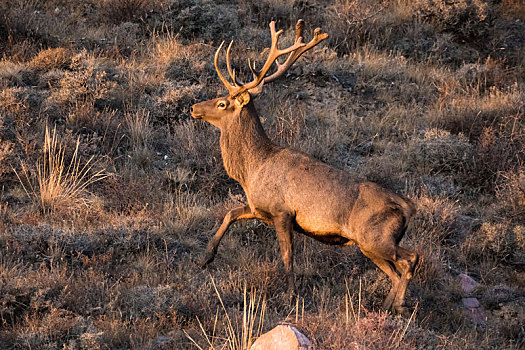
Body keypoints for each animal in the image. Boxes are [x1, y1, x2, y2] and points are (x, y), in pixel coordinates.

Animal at [190, 19, 420, 314]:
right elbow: (230, 213)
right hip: (370, 245)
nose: (194, 107)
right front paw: (205, 257)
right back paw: (388, 306)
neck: (252, 169)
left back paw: (399, 305)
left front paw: (290, 297)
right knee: (395, 271)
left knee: (409, 260)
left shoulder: (283, 211)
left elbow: (287, 257)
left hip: (375, 238)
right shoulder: (260, 208)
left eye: (222, 103)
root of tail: (408, 208)